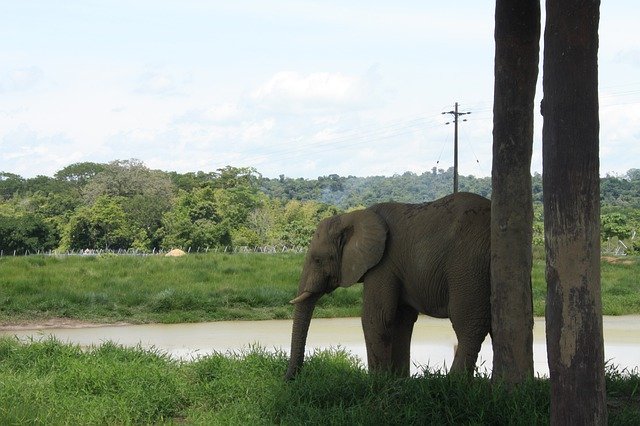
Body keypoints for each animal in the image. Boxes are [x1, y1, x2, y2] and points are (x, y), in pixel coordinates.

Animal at [284, 192, 490, 380]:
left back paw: (453, 382)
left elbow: (376, 318)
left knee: (468, 324)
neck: (351, 216)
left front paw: (377, 383)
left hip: (468, 264)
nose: (290, 380)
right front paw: (398, 380)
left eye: (317, 260)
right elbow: (401, 319)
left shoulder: (384, 264)